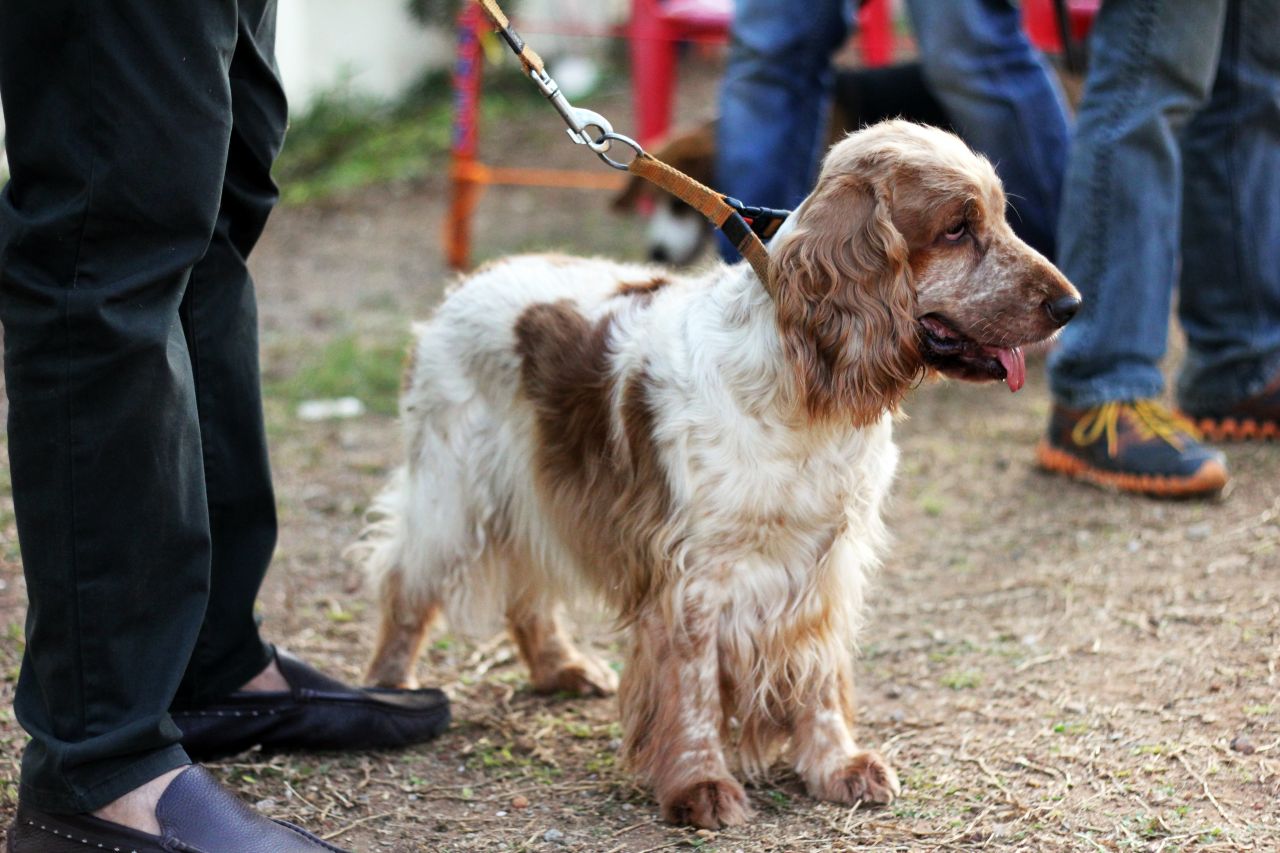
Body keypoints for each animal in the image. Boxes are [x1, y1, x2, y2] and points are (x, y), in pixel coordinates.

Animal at [353, 119, 1080, 824]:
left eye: (999, 216)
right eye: (957, 227)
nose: (1071, 304)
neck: (801, 387)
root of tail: (467, 283)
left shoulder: (822, 566)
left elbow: (820, 677)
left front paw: (836, 765)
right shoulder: (693, 575)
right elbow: (694, 686)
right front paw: (700, 785)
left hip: (537, 487)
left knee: (528, 589)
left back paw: (562, 668)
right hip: (454, 491)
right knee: (407, 584)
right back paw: (389, 690)